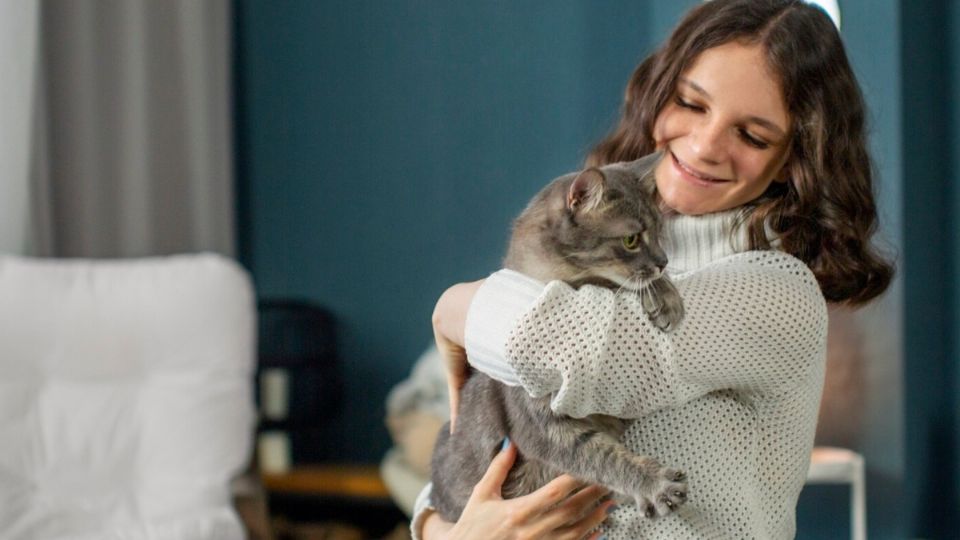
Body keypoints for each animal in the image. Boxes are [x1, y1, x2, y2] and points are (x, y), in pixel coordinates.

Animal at [430, 152, 688, 524]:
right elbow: (604, 457)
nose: (663, 261)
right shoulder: (544, 426)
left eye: (657, 233)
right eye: (631, 240)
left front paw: (666, 295)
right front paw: (653, 484)